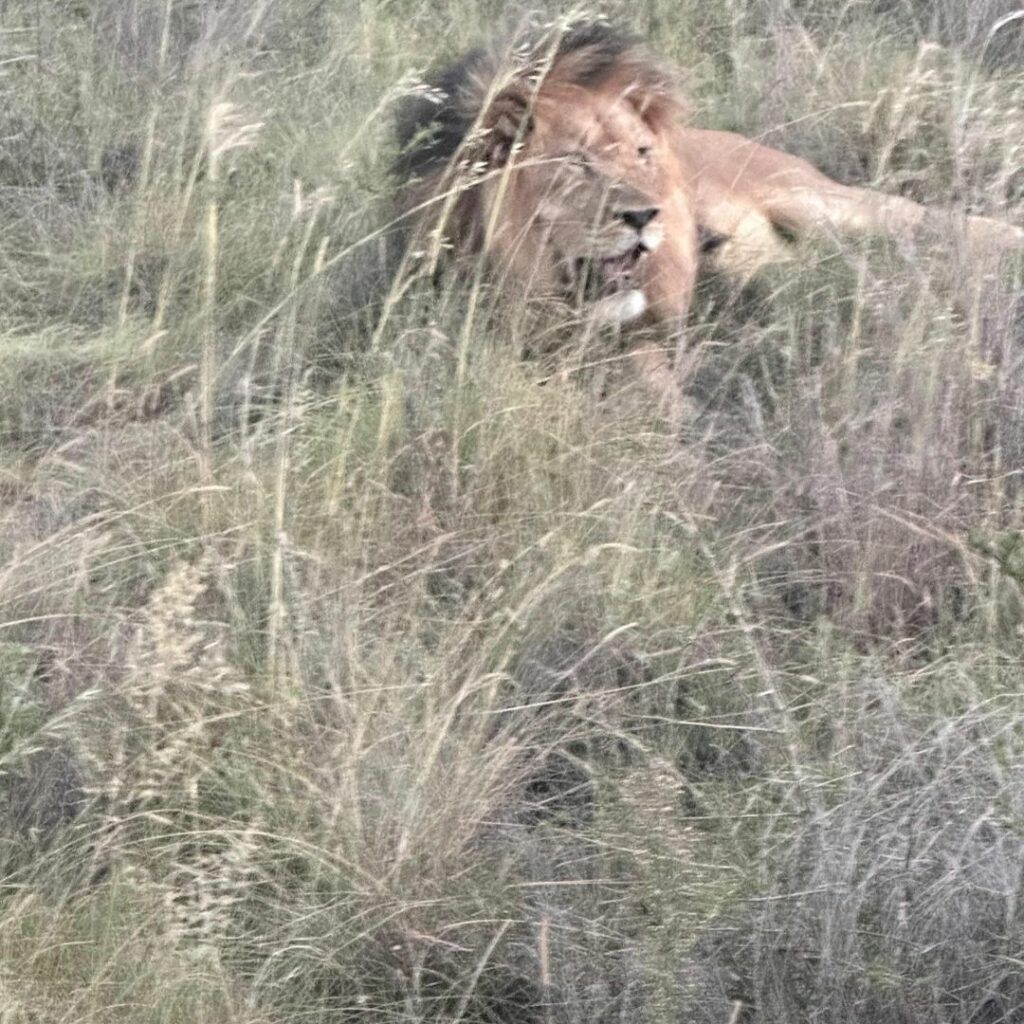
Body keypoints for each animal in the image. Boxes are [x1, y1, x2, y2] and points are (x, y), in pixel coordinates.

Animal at [394, 22, 1024, 420]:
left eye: (641, 154)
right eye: (576, 162)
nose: (646, 215)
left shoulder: (640, 338)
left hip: (823, 204)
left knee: (934, 226)